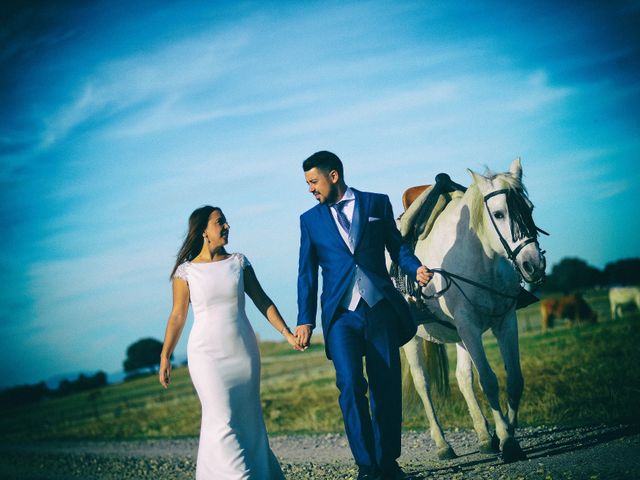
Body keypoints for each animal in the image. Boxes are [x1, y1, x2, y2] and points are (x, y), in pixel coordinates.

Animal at [398, 159, 548, 464]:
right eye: (499, 214)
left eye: (529, 208)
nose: (533, 265)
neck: (482, 257)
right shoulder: (469, 326)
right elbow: (488, 381)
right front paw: (507, 440)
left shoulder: (505, 323)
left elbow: (514, 379)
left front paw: (507, 432)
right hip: (417, 339)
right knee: (423, 384)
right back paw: (443, 445)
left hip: (461, 336)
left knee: (463, 378)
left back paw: (484, 437)